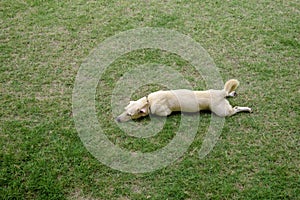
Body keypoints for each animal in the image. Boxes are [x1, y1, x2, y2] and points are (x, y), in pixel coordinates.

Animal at [116, 79, 252, 122]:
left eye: (129, 114)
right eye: (125, 109)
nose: (117, 119)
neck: (148, 101)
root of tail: (220, 94)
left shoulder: (164, 112)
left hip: (222, 111)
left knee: (235, 109)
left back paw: (247, 109)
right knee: (228, 93)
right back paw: (231, 93)